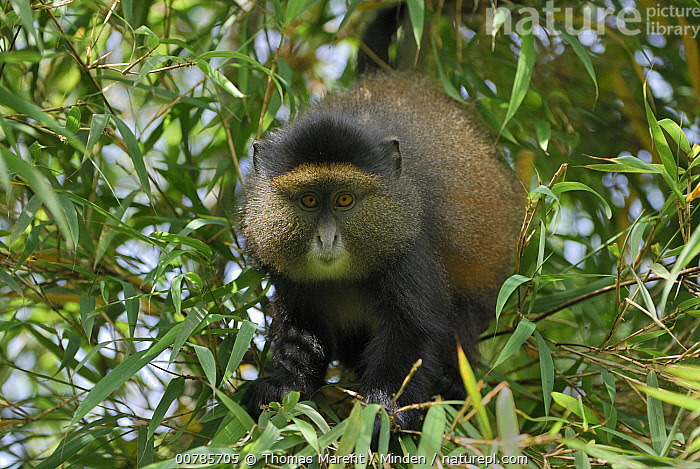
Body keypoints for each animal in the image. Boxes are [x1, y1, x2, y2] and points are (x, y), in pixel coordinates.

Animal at [239, 10, 523, 436]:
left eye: (344, 200)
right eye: (309, 201)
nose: (326, 238)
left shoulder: (409, 248)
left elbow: (412, 332)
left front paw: (379, 413)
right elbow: (300, 331)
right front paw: (281, 387)